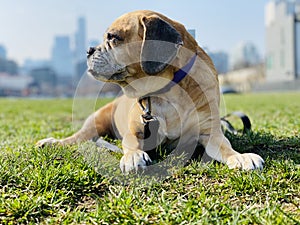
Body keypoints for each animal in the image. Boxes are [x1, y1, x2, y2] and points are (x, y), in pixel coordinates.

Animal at [36, 10, 264, 172]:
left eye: (113, 37)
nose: (89, 50)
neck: (166, 90)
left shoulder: (211, 133)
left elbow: (226, 148)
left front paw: (241, 157)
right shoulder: (134, 131)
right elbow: (130, 143)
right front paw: (133, 156)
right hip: (94, 124)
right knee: (74, 139)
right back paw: (51, 143)